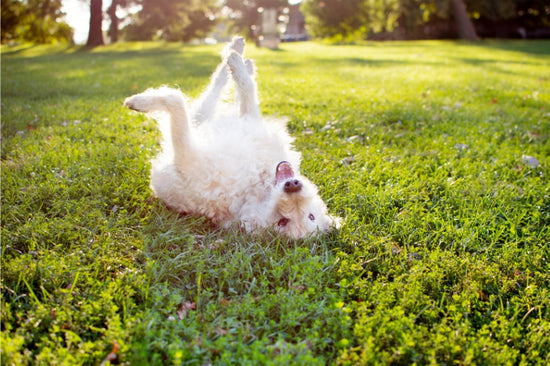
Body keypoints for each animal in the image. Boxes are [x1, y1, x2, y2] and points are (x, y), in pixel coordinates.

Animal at [125, 37, 340, 237]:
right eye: (310, 216)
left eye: (283, 222)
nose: (292, 186)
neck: (256, 187)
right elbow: (244, 92)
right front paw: (242, 65)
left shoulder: (186, 156)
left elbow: (177, 99)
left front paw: (141, 102)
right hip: (204, 118)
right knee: (218, 85)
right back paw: (239, 52)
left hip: (197, 123)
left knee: (205, 92)